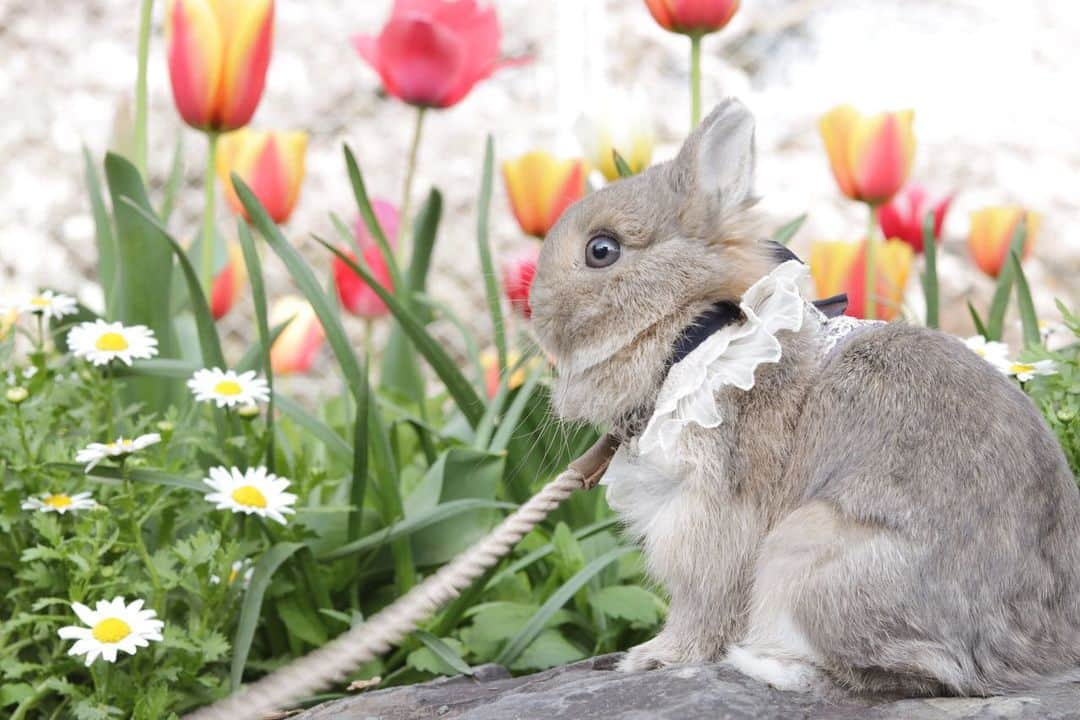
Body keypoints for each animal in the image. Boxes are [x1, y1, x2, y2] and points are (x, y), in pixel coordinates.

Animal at [529, 98, 1080, 695]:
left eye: (601, 250)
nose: (534, 310)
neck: (694, 332)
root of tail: (1026, 655)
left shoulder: (710, 509)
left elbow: (701, 601)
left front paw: (655, 658)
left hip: (808, 553)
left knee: (912, 671)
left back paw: (765, 662)